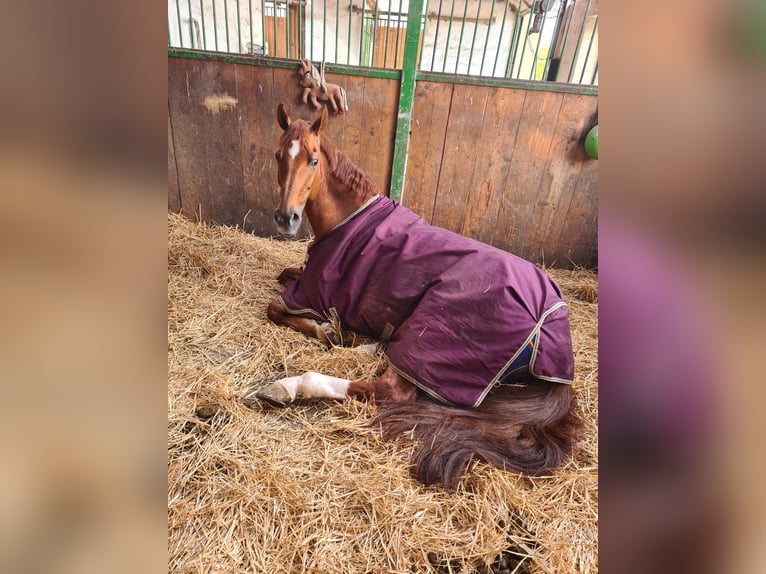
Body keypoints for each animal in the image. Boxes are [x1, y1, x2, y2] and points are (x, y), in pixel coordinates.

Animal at [250, 103, 584, 490]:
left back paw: (287, 386)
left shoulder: (312, 292)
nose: (285, 218)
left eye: (313, 160)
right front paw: (338, 334)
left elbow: (276, 308)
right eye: (278, 155)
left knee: (387, 389)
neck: (348, 220)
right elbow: (284, 275)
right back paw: (369, 346)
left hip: (431, 334)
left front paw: (326, 331)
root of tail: (550, 320)